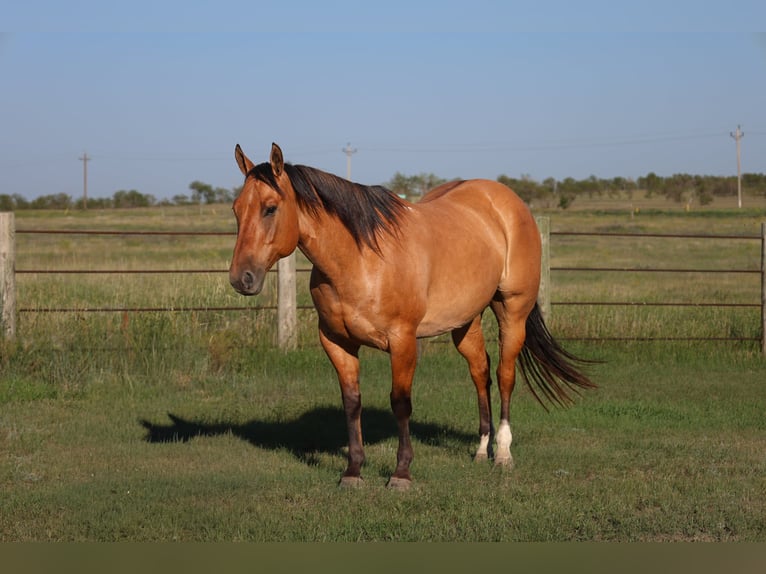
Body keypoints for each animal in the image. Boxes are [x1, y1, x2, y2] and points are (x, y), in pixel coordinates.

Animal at [229, 143, 595, 489]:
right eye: (236, 209)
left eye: (270, 208)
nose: (241, 278)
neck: (361, 259)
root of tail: (508, 202)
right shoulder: (336, 342)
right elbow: (352, 403)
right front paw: (353, 471)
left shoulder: (403, 340)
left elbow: (400, 402)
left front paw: (401, 474)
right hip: (466, 322)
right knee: (480, 373)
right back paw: (481, 450)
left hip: (512, 311)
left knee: (505, 375)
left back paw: (503, 453)